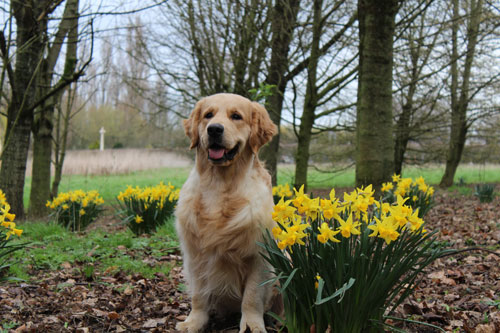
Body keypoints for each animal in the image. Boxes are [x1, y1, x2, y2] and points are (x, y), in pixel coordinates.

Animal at [175, 92, 278, 330]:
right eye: (208, 115)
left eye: (236, 116)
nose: (214, 129)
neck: (219, 185)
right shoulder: (195, 255)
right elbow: (199, 296)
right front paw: (194, 322)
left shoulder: (258, 255)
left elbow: (252, 296)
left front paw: (251, 325)